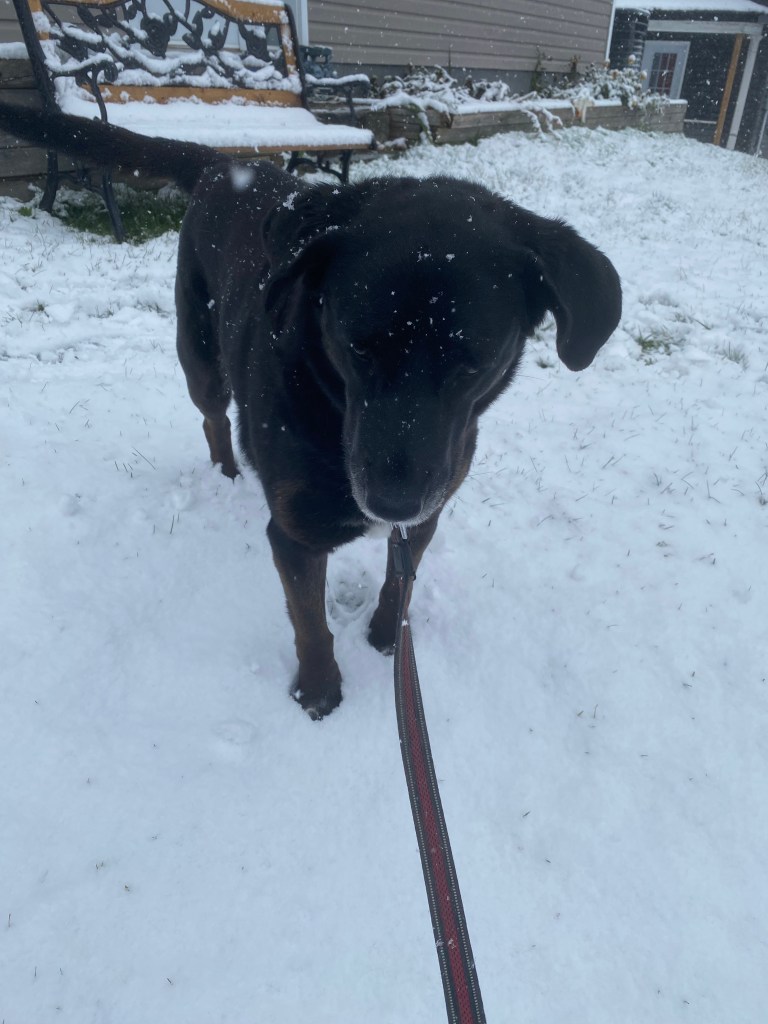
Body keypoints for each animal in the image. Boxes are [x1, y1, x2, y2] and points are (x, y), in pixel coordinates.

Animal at [0, 102, 622, 718]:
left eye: (473, 362)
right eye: (356, 345)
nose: (390, 502)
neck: (331, 407)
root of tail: (222, 163)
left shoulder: (427, 512)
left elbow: (399, 586)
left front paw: (387, 641)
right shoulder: (295, 535)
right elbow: (311, 625)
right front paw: (319, 693)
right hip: (199, 352)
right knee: (211, 415)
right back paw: (228, 472)